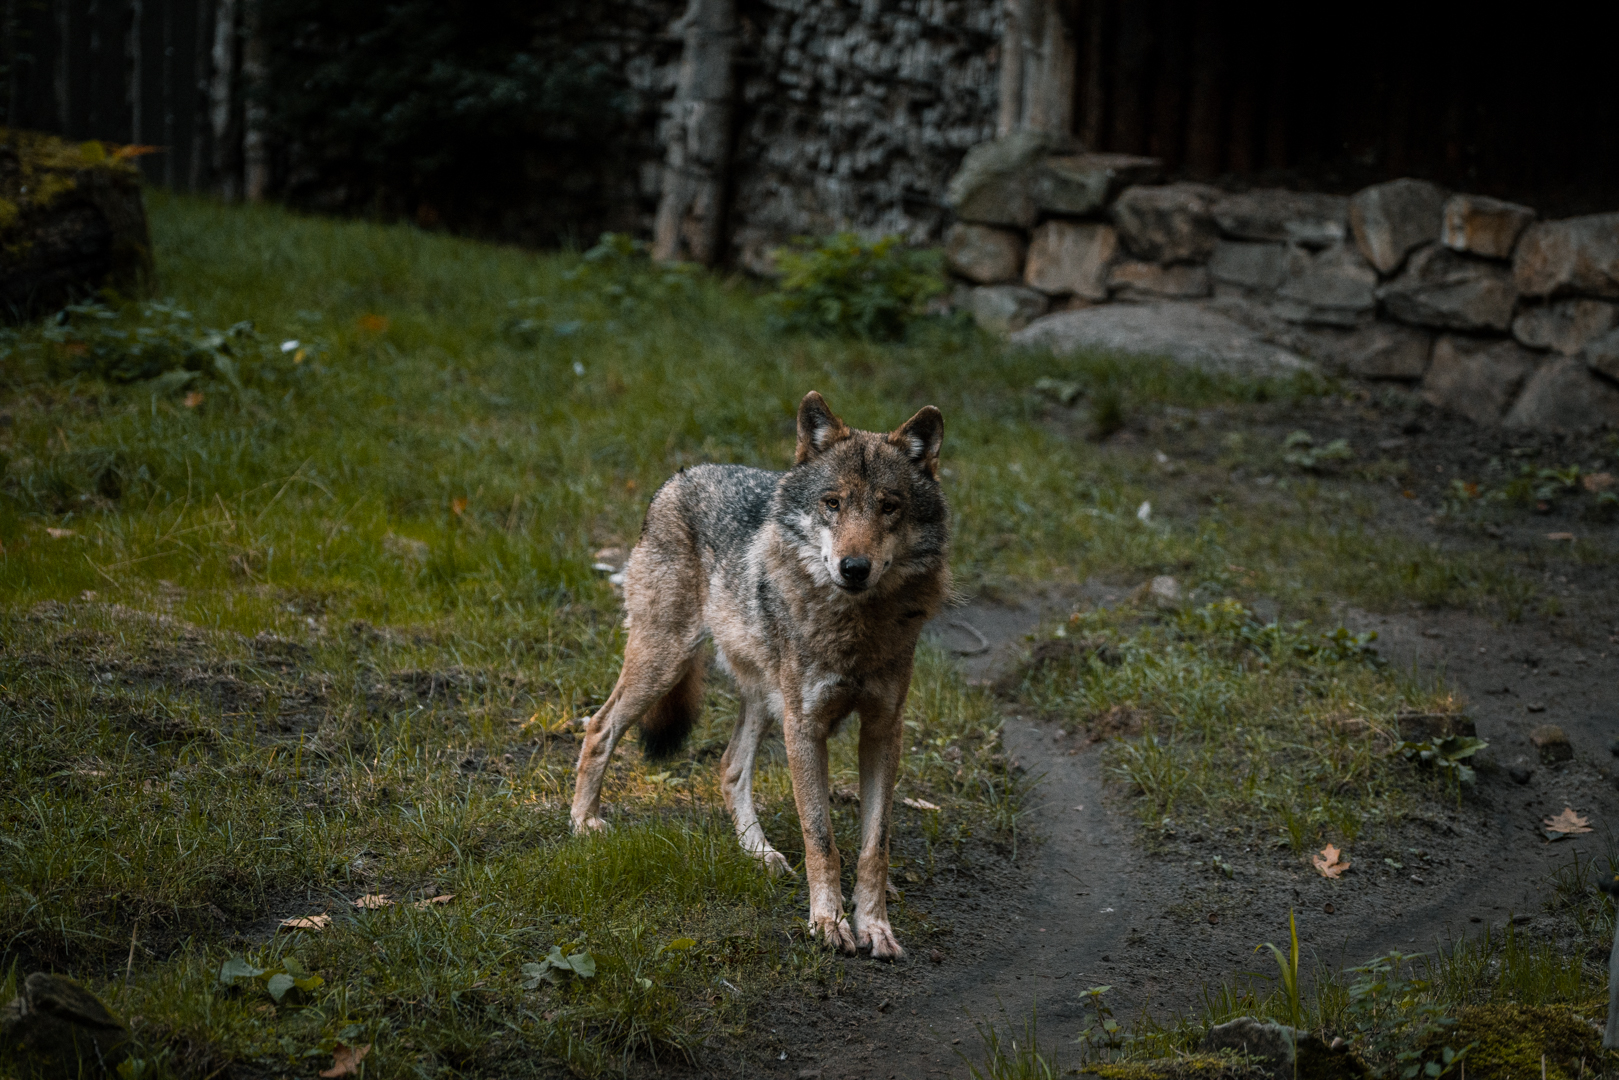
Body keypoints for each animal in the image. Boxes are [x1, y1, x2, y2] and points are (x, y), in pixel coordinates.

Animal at [569, 391, 949, 959]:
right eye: (832, 503)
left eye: (889, 506)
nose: (853, 567)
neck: (854, 630)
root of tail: (680, 476)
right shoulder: (805, 726)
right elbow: (821, 838)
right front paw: (828, 922)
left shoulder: (883, 727)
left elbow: (873, 846)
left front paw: (875, 926)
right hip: (667, 663)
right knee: (599, 725)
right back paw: (583, 822)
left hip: (765, 698)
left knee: (728, 767)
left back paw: (759, 852)